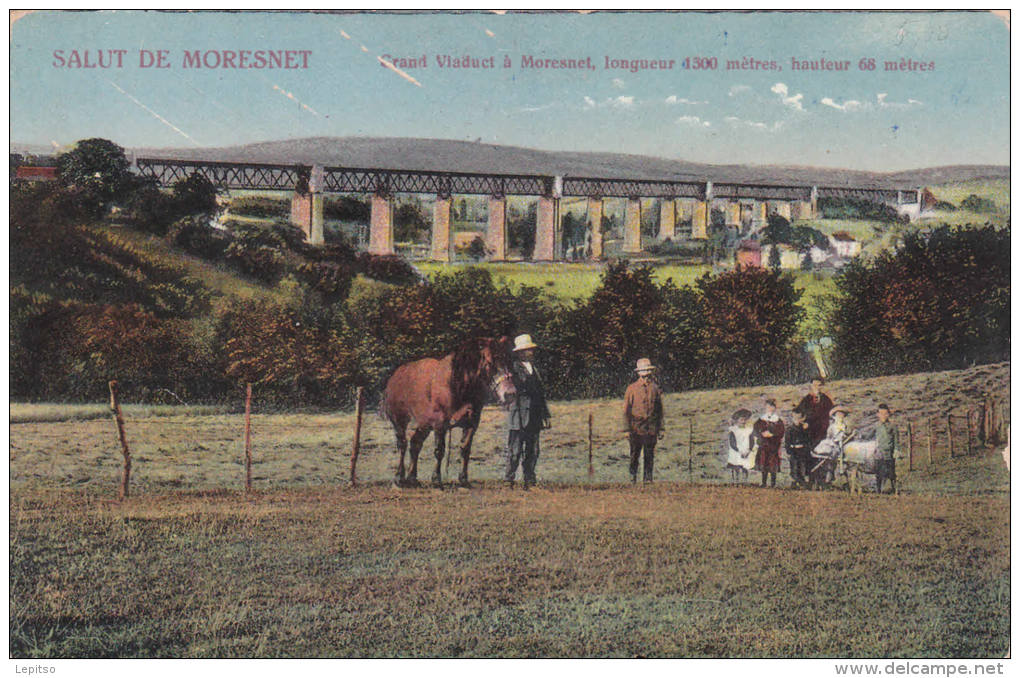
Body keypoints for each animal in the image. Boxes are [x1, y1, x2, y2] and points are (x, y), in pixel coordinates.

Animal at [379, 334, 514, 487]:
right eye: (490, 362)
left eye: (508, 360)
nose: (510, 394)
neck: (456, 384)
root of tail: (394, 378)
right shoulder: (440, 424)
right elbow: (440, 450)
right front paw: (436, 480)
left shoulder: (471, 424)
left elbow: (465, 450)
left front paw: (463, 479)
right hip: (399, 421)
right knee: (403, 444)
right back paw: (399, 478)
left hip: (424, 424)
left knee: (415, 444)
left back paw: (412, 478)